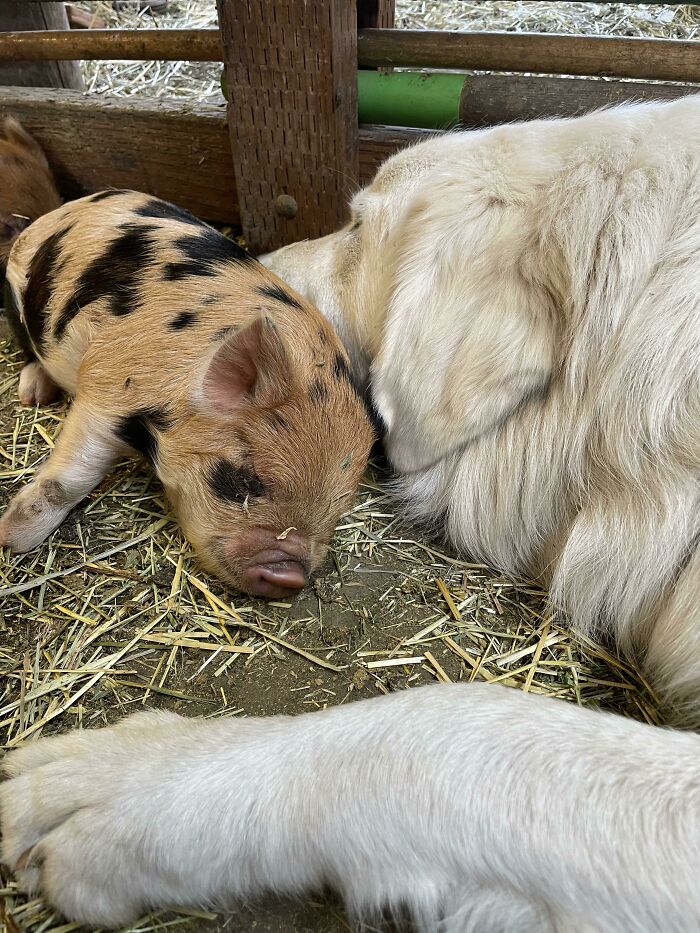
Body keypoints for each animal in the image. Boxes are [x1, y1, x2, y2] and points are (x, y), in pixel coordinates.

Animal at [1, 190, 374, 597]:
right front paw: (10, 539)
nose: (286, 576)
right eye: (247, 480)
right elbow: (70, 478)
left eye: (339, 507)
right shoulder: (108, 385)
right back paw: (34, 395)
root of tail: (57, 211)